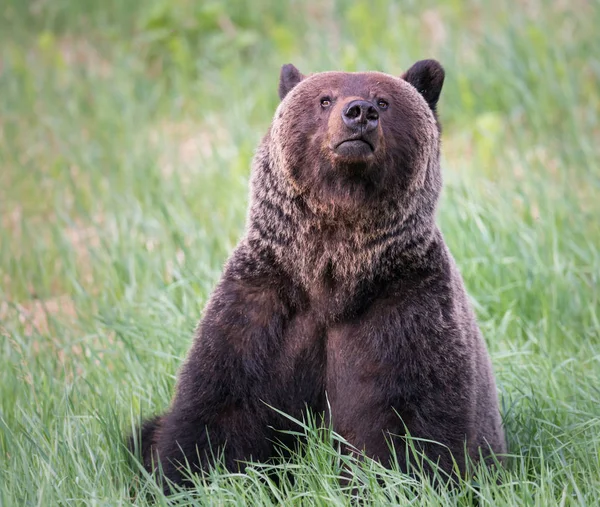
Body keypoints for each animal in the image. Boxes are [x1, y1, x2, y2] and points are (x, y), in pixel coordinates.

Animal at [132, 58, 506, 488]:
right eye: (325, 99)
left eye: (384, 100)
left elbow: (415, 423)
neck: (332, 275)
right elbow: (219, 407)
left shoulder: (406, 305)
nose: (360, 112)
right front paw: (188, 477)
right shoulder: (263, 304)